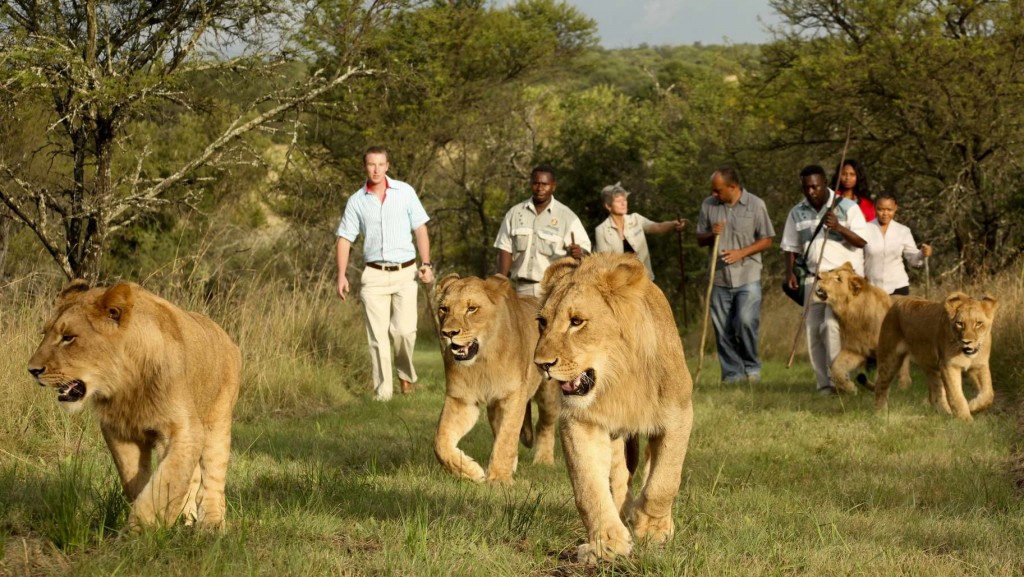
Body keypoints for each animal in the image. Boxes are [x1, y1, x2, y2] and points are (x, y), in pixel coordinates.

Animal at [28, 282, 241, 528]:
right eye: (45, 334)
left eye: (68, 337)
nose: (32, 370)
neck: (127, 385)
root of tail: (225, 335)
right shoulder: (119, 432)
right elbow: (138, 481)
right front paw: (155, 520)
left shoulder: (184, 430)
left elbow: (166, 480)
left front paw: (142, 528)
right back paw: (185, 518)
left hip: (218, 423)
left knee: (213, 478)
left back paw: (212, 524)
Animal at [432, 274, 561, 483]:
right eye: (444, 309)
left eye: (472, 309)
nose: (448, 333)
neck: (482, 362)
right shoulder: (461, 399)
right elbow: (440, 441)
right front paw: (471, 471)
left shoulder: (513, 396)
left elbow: (507, 437)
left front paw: (499, 478)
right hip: (494, 406)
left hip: (548, 396)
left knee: (544, 425)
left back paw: (544, 461)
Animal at [532, 254, 692, 565]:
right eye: (542, 322)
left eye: (577, 322)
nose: (541, 364)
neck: (619, 381)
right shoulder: (580, 422)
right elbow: (588, 487)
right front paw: (607, 543)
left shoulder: (679, 415)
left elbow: (664, 481)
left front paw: (652, 529)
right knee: (619, 478)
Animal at [815, 264, 913, 395]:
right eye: (832, 270)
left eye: (838, 279)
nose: (818, 276)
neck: (853, 315)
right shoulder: (856, 350)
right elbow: (836, 368)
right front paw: (850, 388)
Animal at [872, 291, 999, 422]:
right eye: (960, 324)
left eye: (979, 324)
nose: (966, 342)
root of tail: (897, 301)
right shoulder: (949, 365)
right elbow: (956, 395)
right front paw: (965, 419)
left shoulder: (980, 365)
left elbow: (989, 394)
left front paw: (972, 406)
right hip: (890, 358)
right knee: (880, 385)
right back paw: (880, 414)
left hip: (932, 368)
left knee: (935, 396)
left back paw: (946, 414)